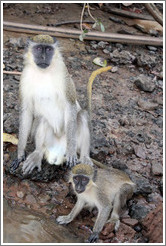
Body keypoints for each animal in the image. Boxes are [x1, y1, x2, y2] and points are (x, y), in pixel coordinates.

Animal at [10, 33, 111, 174]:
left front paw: (71, 152)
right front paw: (20, 154)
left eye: (48, 49)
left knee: (82, 115)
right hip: (49, 141)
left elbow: (70, 106)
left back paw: (84, 156)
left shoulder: (64, 74)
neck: (43, 73)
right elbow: (26, 111)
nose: (43, 57)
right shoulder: (24, 77)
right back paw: (37, 153)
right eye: (38, 48)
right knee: (42, 119)